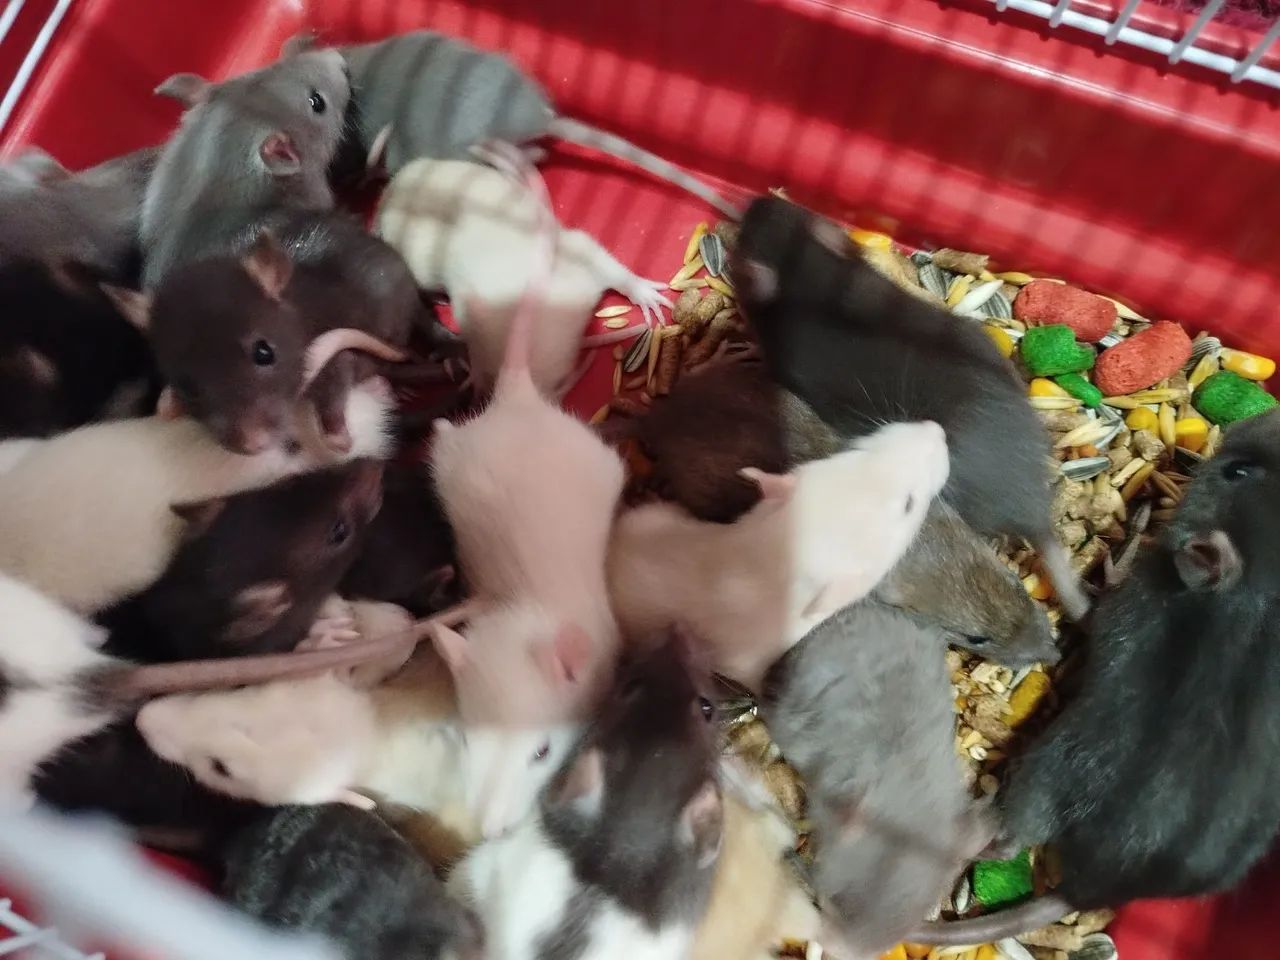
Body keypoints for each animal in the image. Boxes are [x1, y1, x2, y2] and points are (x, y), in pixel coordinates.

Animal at [911, 408, 1280, 943]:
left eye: (1237, 473)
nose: (1259, 418)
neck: (1261, 600)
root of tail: (1086, 890)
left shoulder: (1129, 603)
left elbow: (1089, 606)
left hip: (1046, 771)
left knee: (1008, 842)